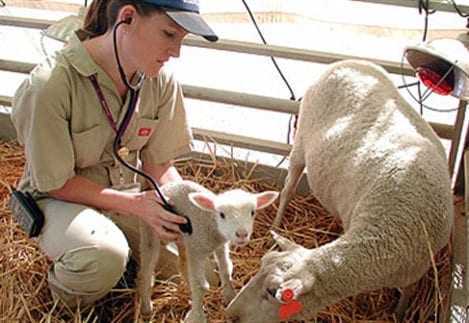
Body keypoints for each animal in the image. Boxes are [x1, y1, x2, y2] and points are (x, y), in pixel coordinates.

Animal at [227, 59, 454, 322]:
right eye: (261, 262)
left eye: (272, 291)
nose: (230, 313)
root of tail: (345, 62)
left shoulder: (417, 269)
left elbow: (406, 293)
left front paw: (399, 313)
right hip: (300, 143)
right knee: (287, 190)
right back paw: (276, 223)